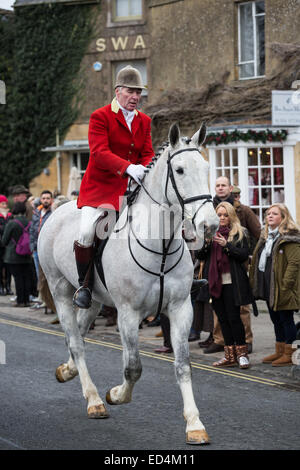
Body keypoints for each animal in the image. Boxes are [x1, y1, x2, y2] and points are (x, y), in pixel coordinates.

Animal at [39, 121, 218, 444]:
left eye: (207, 168)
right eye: (180, 170)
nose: (210, 225)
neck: (160, 244)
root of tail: (58, 209)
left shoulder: (181, 309)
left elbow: (183, 366)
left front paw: (195, 424)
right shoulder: (128, 313)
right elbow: (133, 367)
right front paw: (115, 395)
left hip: (93, 300)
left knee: (79, 335)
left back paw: (67, 371)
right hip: (60, 292)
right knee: (76, 343)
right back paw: (94, 400)